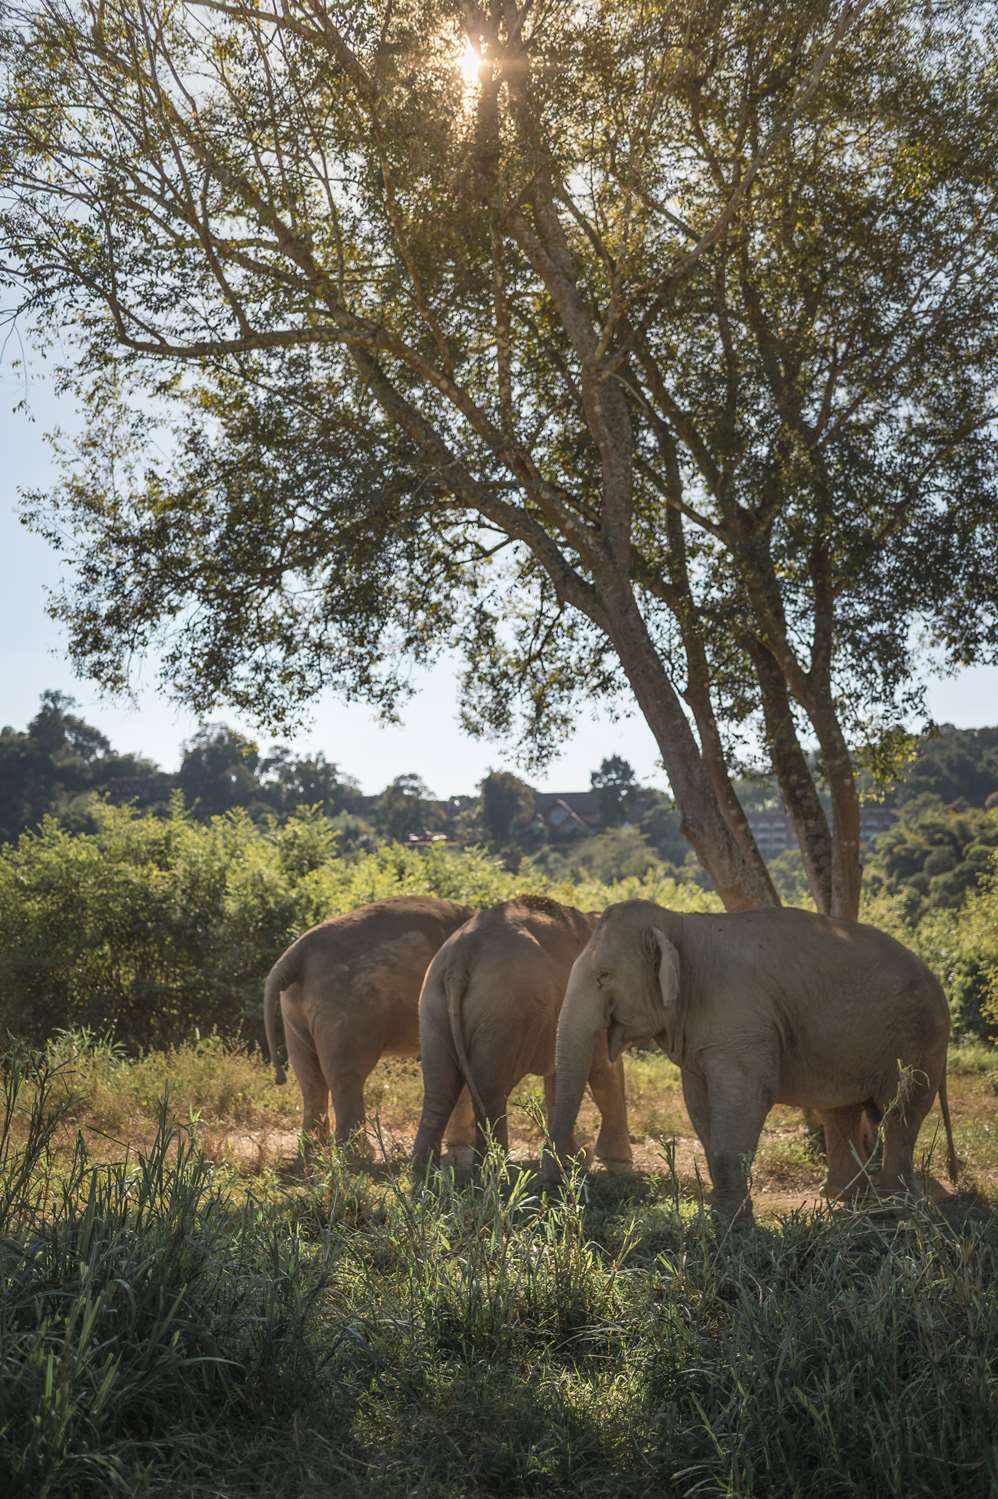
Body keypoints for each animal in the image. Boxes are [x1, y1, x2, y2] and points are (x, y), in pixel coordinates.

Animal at [263, 896, 475, 1151]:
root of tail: (295, 954)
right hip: (348, 1007)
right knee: (347, 1077)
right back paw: (360, 1154)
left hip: (296, 1009)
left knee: (309, 1076)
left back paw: (313, 1152)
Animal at [411, 895, 633, 1171]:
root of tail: (461, 955)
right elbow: (604, 1067)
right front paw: (613, 1162)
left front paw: (572, 1159)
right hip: (505, 1010)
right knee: (491, 1090)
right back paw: (494, 1168)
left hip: (433, 1003)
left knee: (439, 1089)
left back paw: (424, 1170)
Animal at [544, 899, 957, 1221]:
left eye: (603, 975)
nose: (563, 1179)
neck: (679, 924)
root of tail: (935, 977)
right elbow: (699, 1106)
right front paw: (723, 1215)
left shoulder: (741, 1024)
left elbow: (747, 1096)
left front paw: (731, 1225)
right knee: (841, 1112)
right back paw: (843, 1198)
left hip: (918, 1037)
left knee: (901, 1111)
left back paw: (895, 1209)